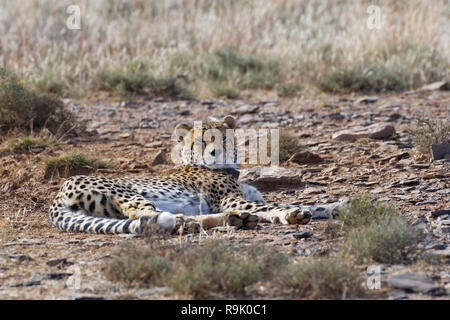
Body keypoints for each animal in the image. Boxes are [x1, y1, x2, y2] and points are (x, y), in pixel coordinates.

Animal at [49, 115, 342, 235]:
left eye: (222, 138)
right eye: (201, 141)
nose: (214, 152)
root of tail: (59, 189)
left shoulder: (242, 198)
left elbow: (307, 203)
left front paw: (336, 206)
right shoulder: (231, 199)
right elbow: (275, 207)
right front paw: (291, 214)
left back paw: (235, 219)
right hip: (129, 194)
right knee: (147, 217)